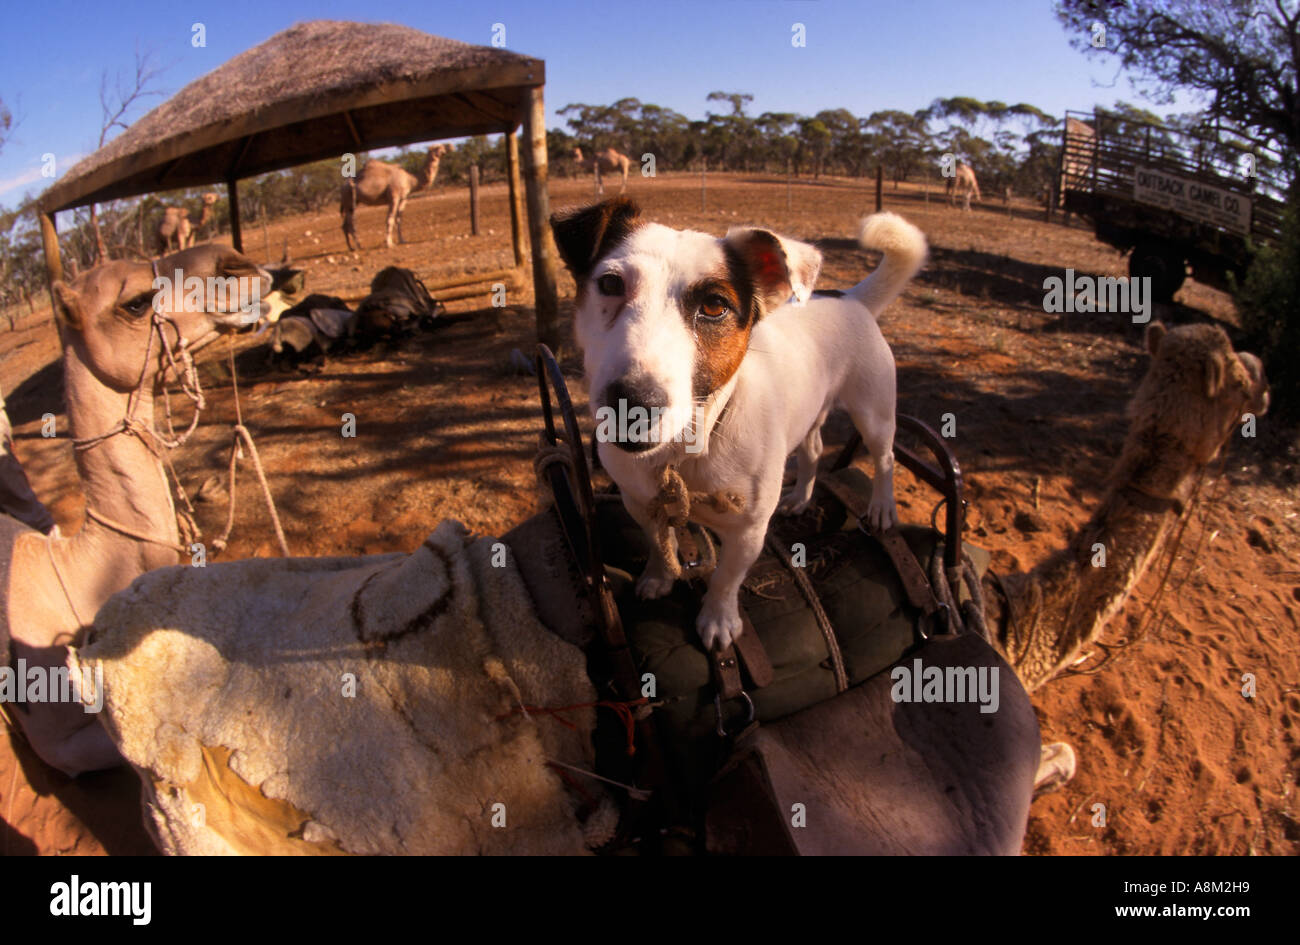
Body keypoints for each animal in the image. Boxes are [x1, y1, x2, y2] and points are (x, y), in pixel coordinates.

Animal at [553, 201, 930, 649]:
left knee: (885, 458)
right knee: (814, 451)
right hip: (809, 411)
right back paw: (800, 497)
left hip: (874, 412)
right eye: (610, 284)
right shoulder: (639, 501)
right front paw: (659, 577)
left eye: (715, 306)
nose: (633, 403)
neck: (687, 452)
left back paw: (882, 507)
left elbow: (726, 579)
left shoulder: (748, 532)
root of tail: (849, 297)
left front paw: (718, 620)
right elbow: (660, 543)